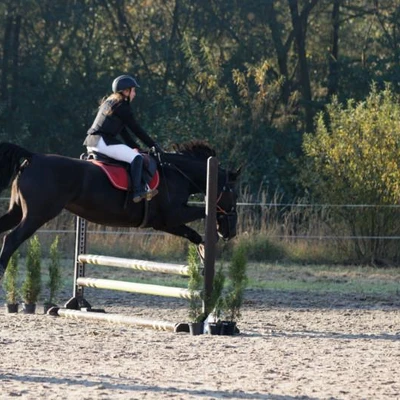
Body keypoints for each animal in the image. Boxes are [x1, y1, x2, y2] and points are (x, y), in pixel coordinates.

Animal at [0, 140, 239, 278]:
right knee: (11, 239)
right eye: (235, 195)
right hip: (38, 215)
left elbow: (192, 234)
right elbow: (203, 214)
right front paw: (211, 239)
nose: (230, 232)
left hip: (17, 211)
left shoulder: (165, 223)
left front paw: (204, 251)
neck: (177, 173)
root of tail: (33, 157)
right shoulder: (170, 216)